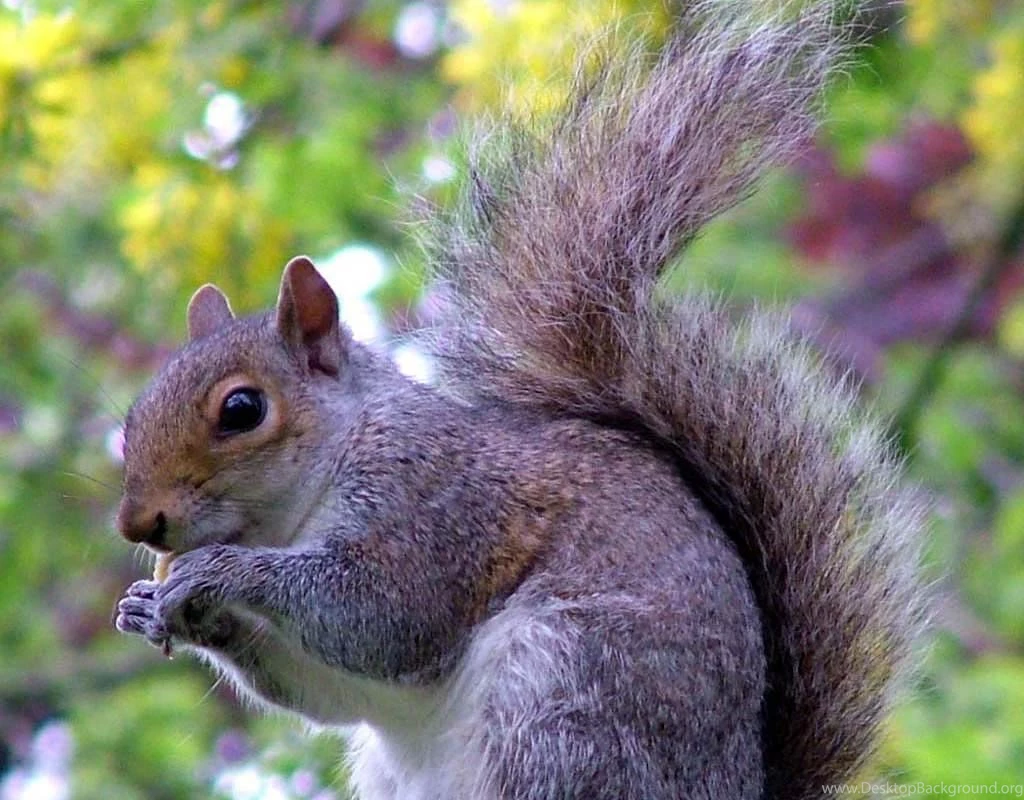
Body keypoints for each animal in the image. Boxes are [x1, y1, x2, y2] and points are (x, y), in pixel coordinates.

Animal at [113, 3, 926, 799]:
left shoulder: (437, 506)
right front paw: (154, 608)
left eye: (242, 411)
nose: (137, 524)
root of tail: (740, 783)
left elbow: (381, 615)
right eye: (131, 419)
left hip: (562, 691)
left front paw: (220, 573)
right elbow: (334, 690)